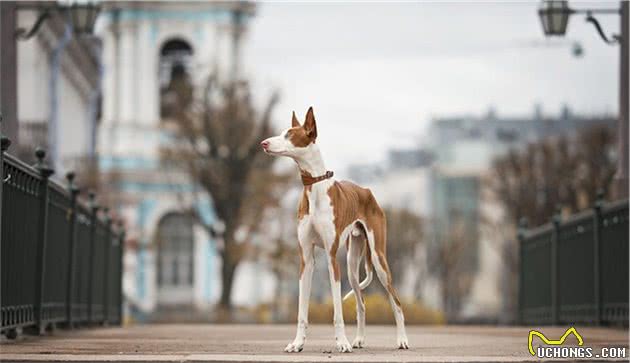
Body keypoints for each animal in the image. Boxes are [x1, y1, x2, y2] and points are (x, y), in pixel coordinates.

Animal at [260, 107, 410, 352]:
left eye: (289, 135)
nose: (263, 143)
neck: (315, 187)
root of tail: (366, 191)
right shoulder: (306, 259)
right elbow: (302, 311)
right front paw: (297, 343)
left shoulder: (331, 259)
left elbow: (338, 311)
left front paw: (342, 342)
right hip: (351, 264)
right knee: (361, 304)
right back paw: (359, 340)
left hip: (379, 260)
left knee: (396, 302)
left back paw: (402, 340)